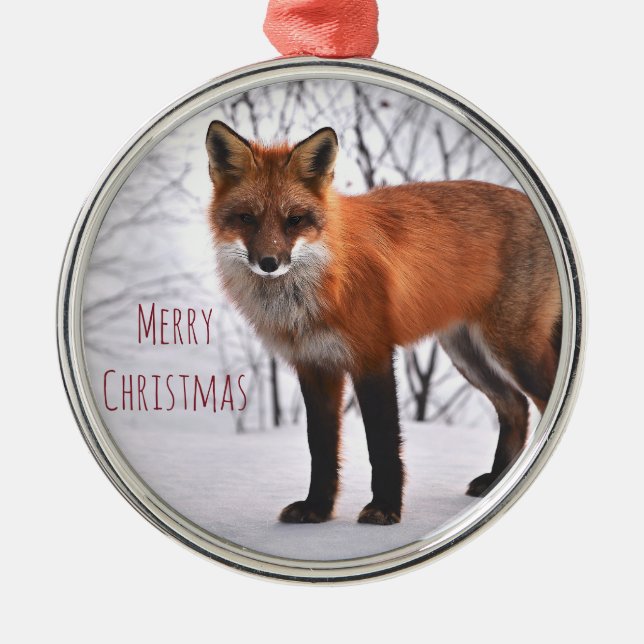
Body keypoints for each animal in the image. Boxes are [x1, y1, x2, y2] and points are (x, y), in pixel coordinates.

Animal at [205, 120, 561, 525]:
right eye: (246, 218)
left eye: (293, 220)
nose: (269, 263)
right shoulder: (314, 365)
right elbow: (320, 447)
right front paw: (317, 509)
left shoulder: (372, 355)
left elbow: (383, 442)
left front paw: (385, 508)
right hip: (467, 354)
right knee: (515, 407)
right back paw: (497, 483)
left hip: (514, 351)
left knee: (538, 400)